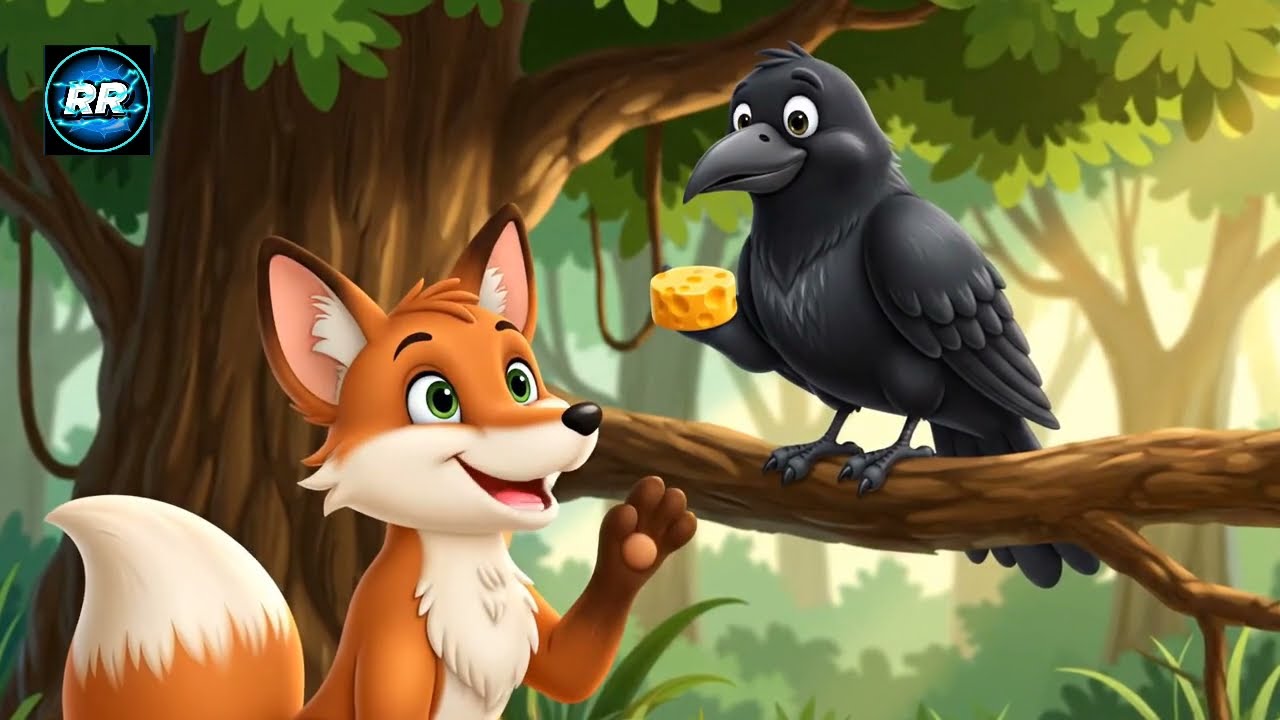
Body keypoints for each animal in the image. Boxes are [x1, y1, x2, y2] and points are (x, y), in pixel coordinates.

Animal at [48, 204, 698, 720]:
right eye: (438, 400)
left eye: (520, 381)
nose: (584, 416)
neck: (467, 566)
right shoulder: (389, 641)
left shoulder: (531, 622)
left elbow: (571, 671)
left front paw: (642, 537)